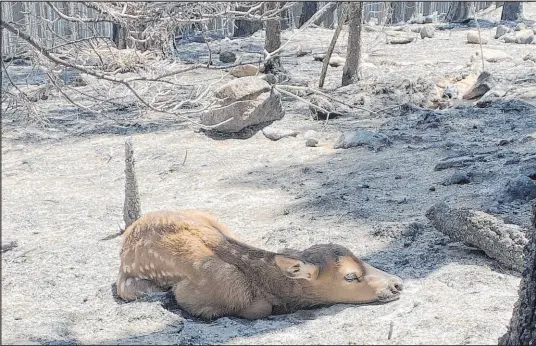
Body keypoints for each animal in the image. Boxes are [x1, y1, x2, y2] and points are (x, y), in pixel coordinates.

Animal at [116, 139, 402, 318]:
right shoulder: (195, 294)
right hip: (128, 285)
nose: (397, 284)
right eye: (350, 277)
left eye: (363, 258)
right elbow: (257, 309)